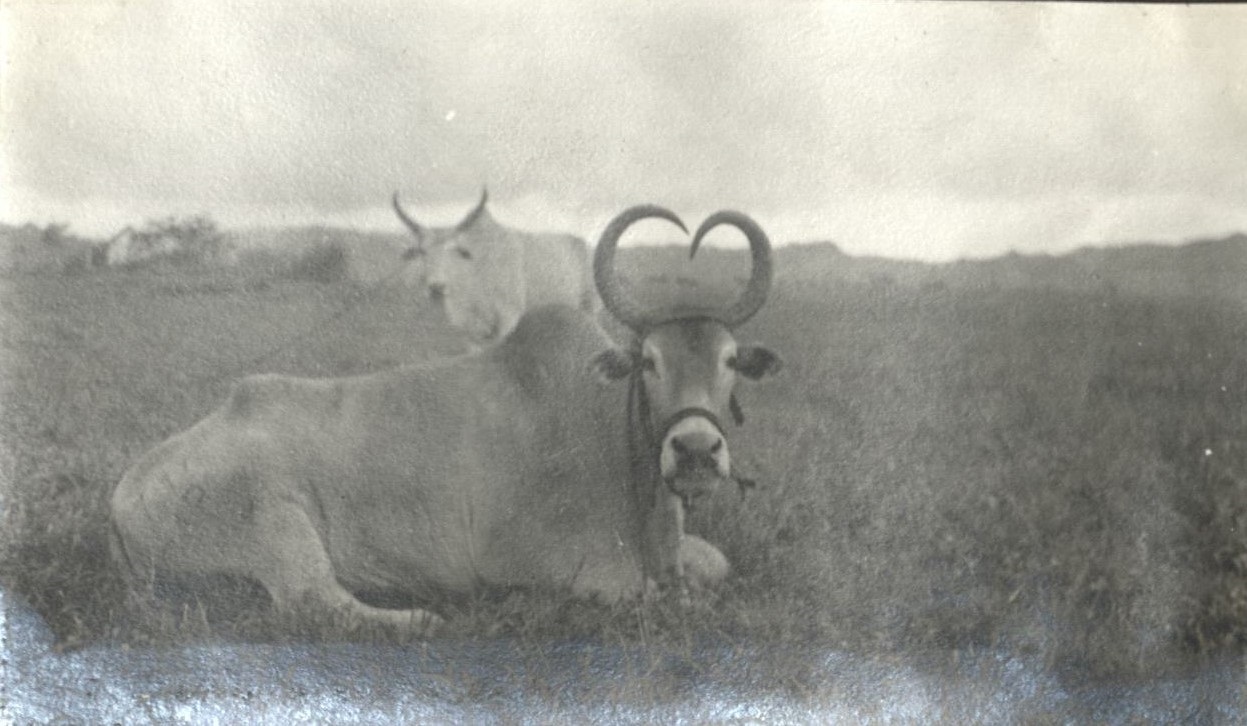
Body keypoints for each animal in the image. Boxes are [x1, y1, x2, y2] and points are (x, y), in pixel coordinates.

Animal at [110, 205, 782, 637]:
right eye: (649, 361)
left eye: (729, 361)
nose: (696, 449)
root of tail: (124, 492)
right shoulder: (534, 562)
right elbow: (655, 598)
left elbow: (714, 565)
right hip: (274, 518)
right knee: (314, 603)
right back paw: (422, 619)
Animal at [392, 188, 595, 342]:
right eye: (422, 251)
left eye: (457, 250)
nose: (436, 288)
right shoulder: (469, 330)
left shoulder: (508, 318)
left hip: (589, 306)